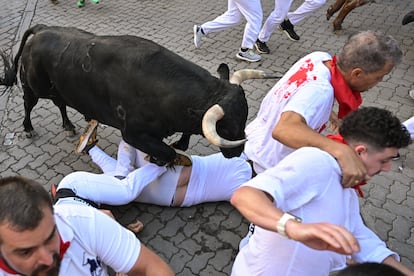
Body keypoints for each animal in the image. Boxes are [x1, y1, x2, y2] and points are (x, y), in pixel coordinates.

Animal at [1, 24, 280, 165]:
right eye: (224, 128)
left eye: (244, 118)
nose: (238, 152)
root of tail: (43, 29)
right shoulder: (132, 133)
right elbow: (168, 154)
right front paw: (162, 158)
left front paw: (180, 143)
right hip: (34, 85)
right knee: (28, 102)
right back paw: (28, 128)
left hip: (57, 86)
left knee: (60, 102)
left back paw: (70, 124)